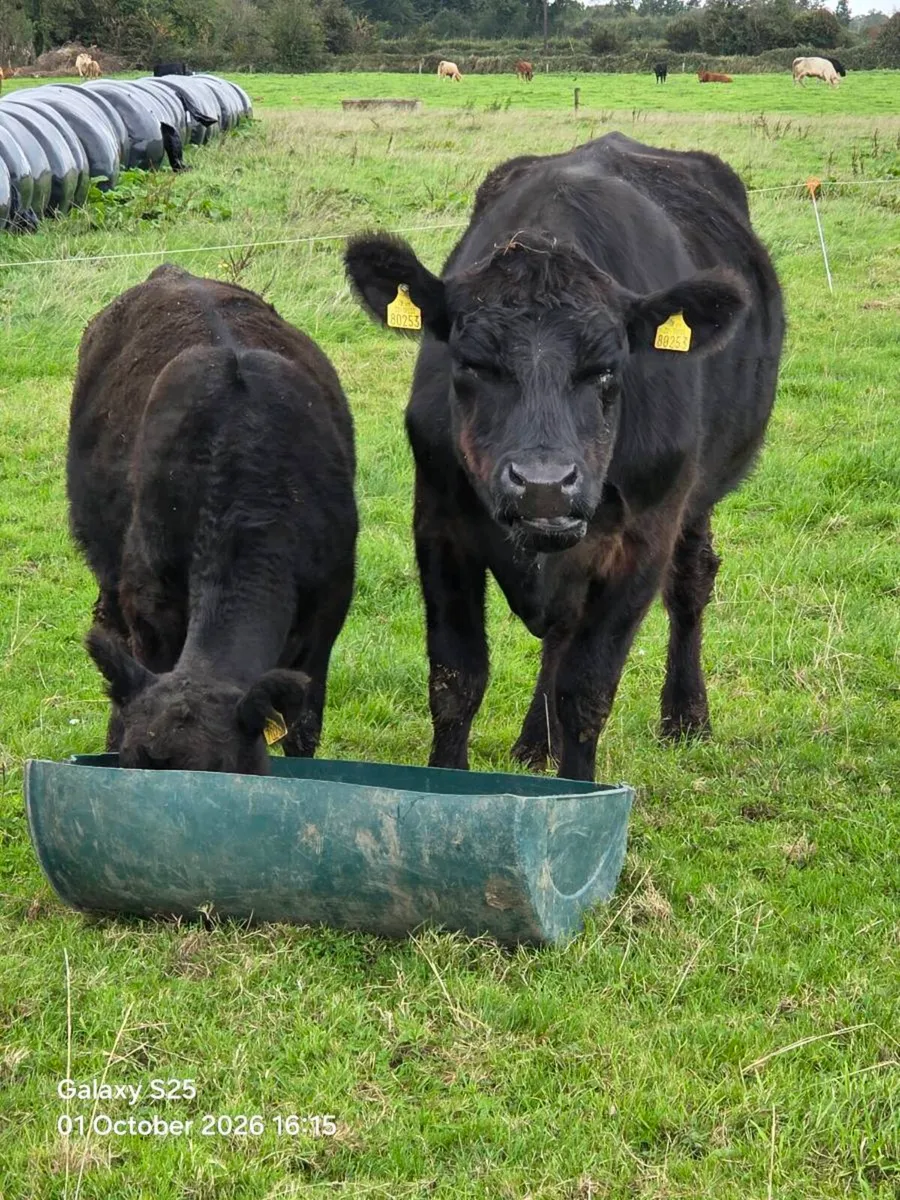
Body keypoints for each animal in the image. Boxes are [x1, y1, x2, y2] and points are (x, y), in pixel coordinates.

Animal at [67, 265, 358, 775]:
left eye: (219, 769)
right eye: (132, 766)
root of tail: (174, 273)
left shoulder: (326, 619)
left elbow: (303, 733)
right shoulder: (151, 616)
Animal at [344, 132, 783, 782]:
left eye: (606, 368)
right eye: (472, 363)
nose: (543, 485)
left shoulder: (641, 542)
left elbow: (589, 688)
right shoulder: (440, 526)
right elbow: (456, 679)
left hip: (697, 498)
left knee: (691, 584)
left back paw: (686, 716)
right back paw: (536, 742)